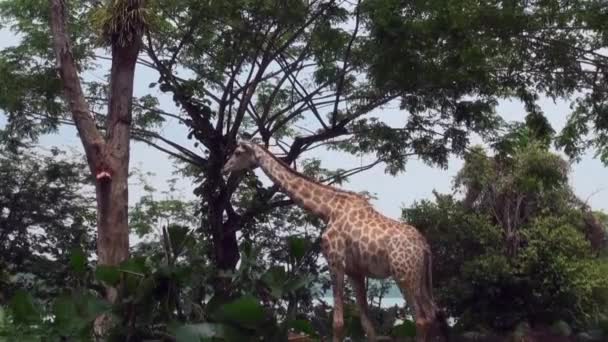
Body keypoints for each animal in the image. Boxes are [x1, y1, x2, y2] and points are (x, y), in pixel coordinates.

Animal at [222, 140, 446, 340]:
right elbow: (367, 324)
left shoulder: (335, 260)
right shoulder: (355, 271)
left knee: (421, 319)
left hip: (404, 275)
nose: (225, 168)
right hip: (420, 277)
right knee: (432, 314)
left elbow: (338, 323)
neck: (327, 210)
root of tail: (424, 246)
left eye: (238, 152)